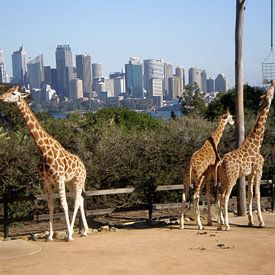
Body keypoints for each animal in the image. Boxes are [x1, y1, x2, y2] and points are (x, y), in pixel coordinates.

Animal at [0, 85, 89, 240]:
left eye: (14, 93)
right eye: (8, 91)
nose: (1, 97)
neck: (43, 150)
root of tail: (84, 166)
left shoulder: (58, 178)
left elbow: (64, 204)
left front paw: (68, 235)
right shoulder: (46, 181)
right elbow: (50, 205)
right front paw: (50, 235)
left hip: (78, 180)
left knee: (77, 200)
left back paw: (72, 232)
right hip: (70, 182)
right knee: (79, 200)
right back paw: (83, 231)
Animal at [217, 83, 274, 231]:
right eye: (270, 92)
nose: (272, 83)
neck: (257, 144)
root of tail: (221, 162)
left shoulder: (249, 173)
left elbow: (250, 194)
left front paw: (250, 221)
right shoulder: (259, 170)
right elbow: (258, 194)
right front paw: (261, 222)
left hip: (223, 179)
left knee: (219, 196)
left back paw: (219, 225)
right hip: (231, 178)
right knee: (225, 196)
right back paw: (226, 225)